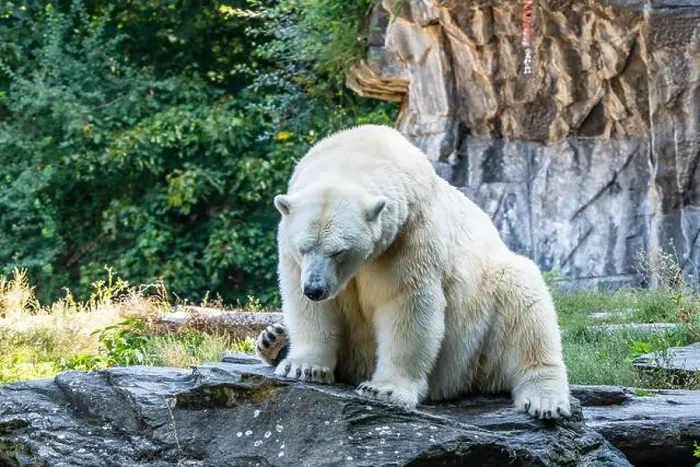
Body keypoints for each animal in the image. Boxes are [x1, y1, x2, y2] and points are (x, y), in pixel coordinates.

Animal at [256, 124, 571, 419]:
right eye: (304, 248)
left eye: (338, 251)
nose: (315, 289)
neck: (360, 150)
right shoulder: (292, 252)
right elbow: (309, 307)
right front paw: (303, 367)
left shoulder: (408, 236)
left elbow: (407, 304)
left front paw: (384, 389)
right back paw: (273, 340)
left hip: (485, 313)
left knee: (526, 305)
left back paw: (545, 400)